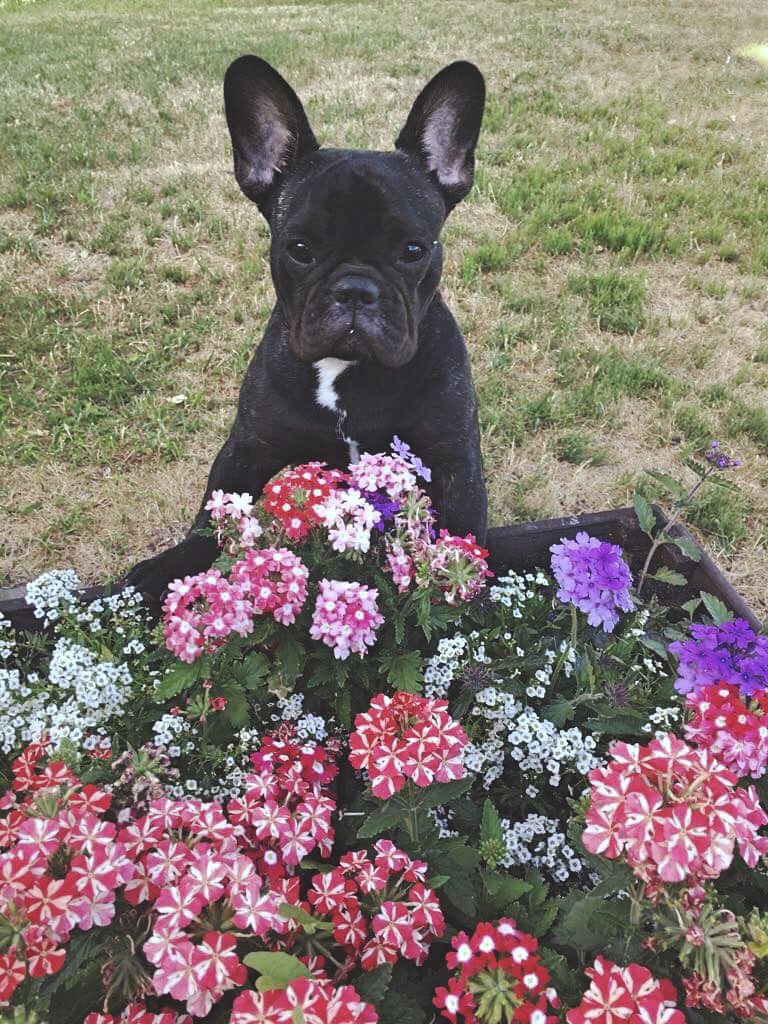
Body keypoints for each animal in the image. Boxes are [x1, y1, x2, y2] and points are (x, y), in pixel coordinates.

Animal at [126, 58, 487, 598]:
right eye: (299, 249)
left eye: (413, 250)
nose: (356, 289)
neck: (346, 368)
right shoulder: (246, 447)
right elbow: (211, 515)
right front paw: (170, 567)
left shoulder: (454, 462)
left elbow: (463, 539)